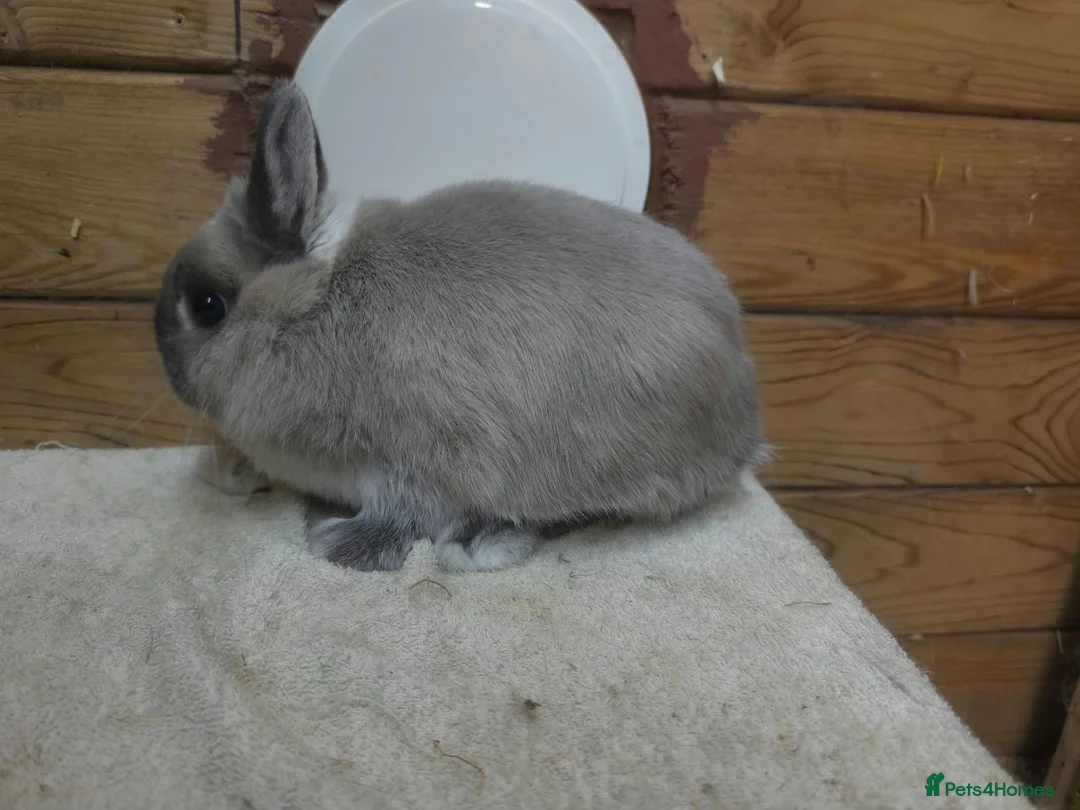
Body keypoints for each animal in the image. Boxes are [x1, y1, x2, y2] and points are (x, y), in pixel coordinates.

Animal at [154, 79, 768, 573]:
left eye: (206, 306)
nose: (167, 368)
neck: (312, 305)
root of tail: (744, 425)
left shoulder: (420, 454)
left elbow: (407, 512)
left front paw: (338, 544)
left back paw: (483, 541)